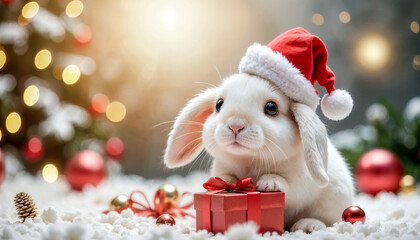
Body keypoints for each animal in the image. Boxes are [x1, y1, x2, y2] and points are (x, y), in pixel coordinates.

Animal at [164, 73, 354, 232]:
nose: (235, 125)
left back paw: (308, 225)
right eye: (219, 104)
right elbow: (225, 176)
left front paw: (270, 183)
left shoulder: (301, 181)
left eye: (271, 107)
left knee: (326, 220)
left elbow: (289, 184)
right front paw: (224, 182)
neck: (248, 161)